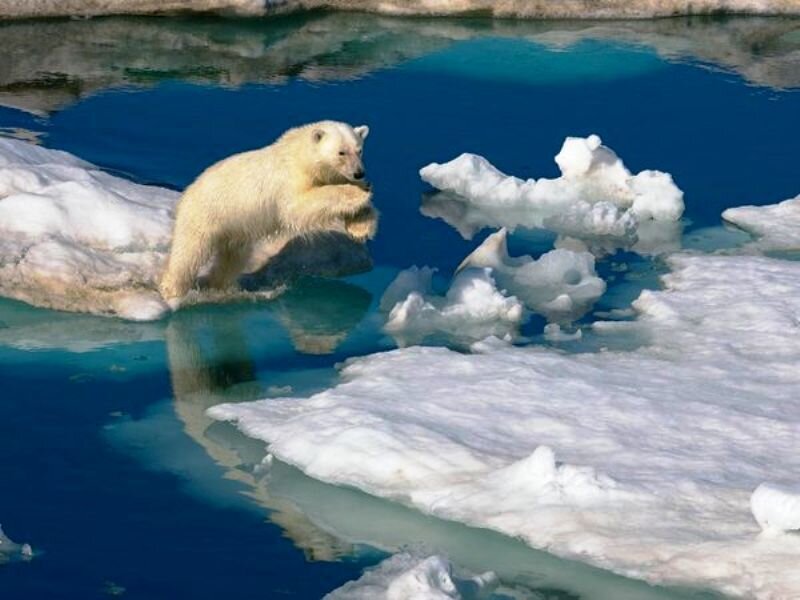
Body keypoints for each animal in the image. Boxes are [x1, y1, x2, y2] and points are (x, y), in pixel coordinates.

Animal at [158, 120, 377, 307]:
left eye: (359, 150)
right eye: (341, 152)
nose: (359, 172)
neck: (300, 154)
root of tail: (188, 192)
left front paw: (360, 227)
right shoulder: (290, 179)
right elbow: (299, 207)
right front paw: (358, 193)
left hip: (234, 229)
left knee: (232, 258)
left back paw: (218, 285)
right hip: (204, 215)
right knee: (188, 254)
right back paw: (172, 290)